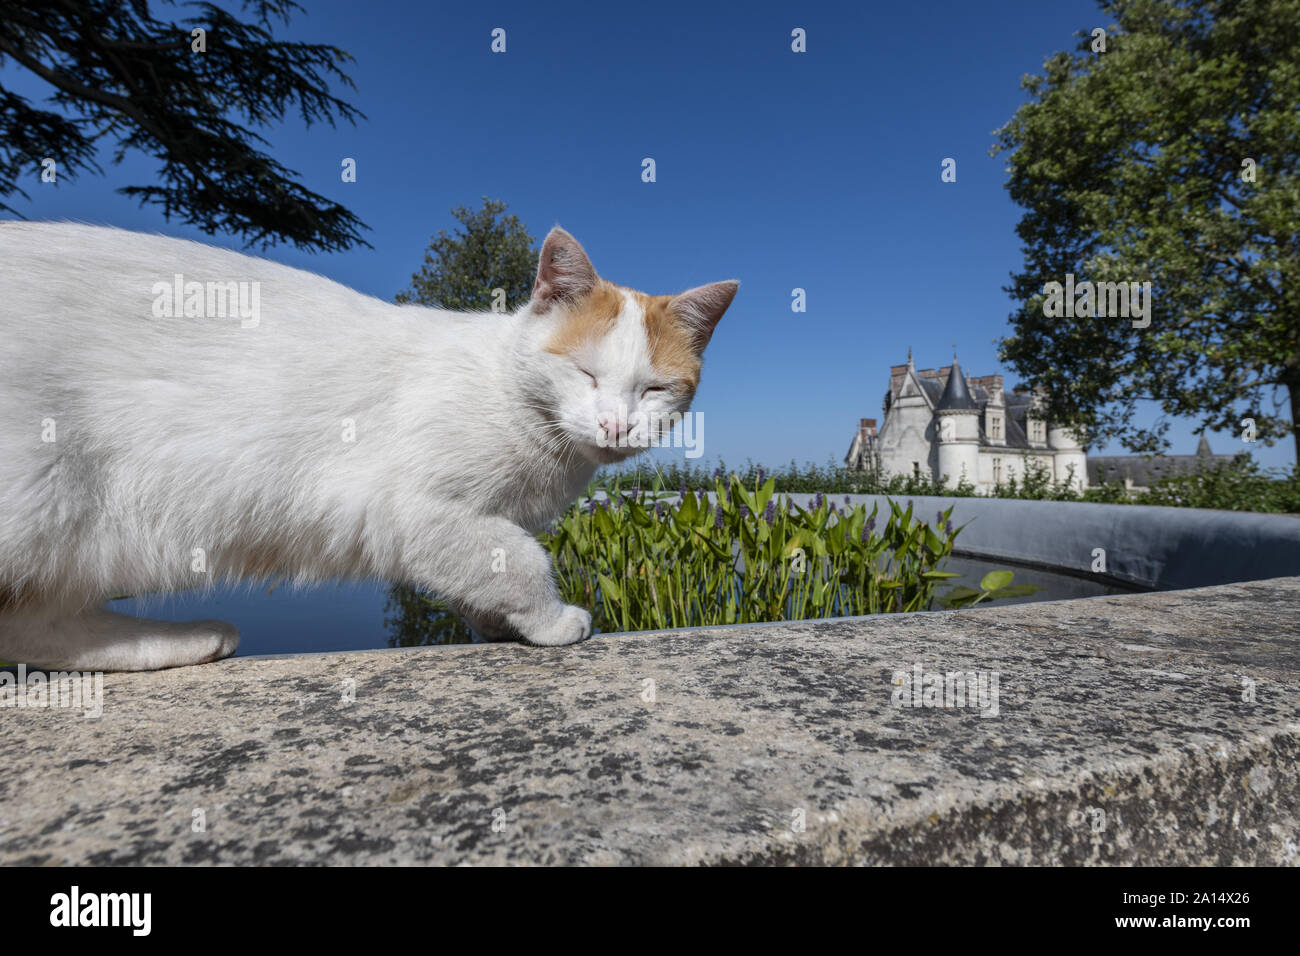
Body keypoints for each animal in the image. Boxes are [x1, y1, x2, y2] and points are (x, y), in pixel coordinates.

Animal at [0, 222, 733, 671]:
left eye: (654, 390)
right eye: (586, 374)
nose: (615, 427)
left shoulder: (464, 523)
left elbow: (486, 563)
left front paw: (500, 623)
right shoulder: (410, 506)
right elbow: (521, 557)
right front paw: (550, 619)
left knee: (35, 626)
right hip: (45, 501)